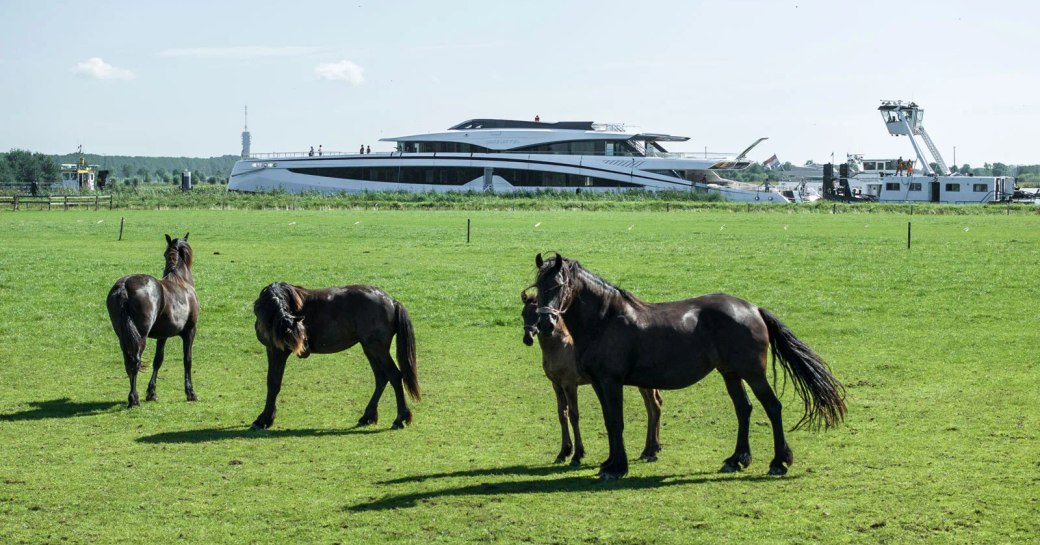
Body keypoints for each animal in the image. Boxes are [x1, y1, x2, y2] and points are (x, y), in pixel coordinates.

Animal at [106, 234, 199, 407]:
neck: (180, 281)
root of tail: (124, 286)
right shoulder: (190, 331)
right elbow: (187, 360)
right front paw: (190, 393)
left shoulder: (162, 336)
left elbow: (158, 360)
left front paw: (151, 393)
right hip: (140, 337)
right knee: (135, 361)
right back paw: (134, 398)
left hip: (123, 336)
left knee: (127, 361)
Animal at [251, 280, 418, 430]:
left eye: (301, 333)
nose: (305, 350)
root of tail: (392, 302)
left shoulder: (276, 351)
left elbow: (273, 383)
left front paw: (264, 419)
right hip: (370, 349)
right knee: (381, 378)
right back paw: (367, 417)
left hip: (377, 349)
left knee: (395, 376)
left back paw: (399, 419)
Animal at [520, 291, 665, 465]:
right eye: (523, 314)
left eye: (536, 315)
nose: (527, 339)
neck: (560, 346)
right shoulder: (556, 385)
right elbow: (562, 414)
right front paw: (563, 452)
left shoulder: (570, 384)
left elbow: (573, 415)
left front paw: (577, 455)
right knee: (651, 407)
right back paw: (650, 449)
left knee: (655, 407)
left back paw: (651, 451)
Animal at [536, 253, 844, 478]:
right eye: (537, 286)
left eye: (560, 284)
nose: (545, 323)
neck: (605, 320)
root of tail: (753, 309)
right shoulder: (600, 384)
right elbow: (609, 421)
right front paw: (611, 463)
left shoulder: (611, 382)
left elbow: (616, 422)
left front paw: (618, 468)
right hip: (730, 373)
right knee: (743, 410)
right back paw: (736, 459)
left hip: (752, 373)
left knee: (772, 407)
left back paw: (778, 462)